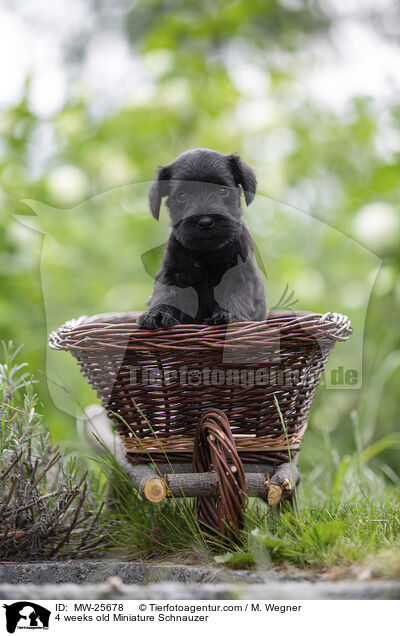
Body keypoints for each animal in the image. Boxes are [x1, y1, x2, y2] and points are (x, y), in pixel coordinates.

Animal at [139, 147, 268, 330]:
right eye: (181, 196)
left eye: (222, 190)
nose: (205, 222)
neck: (206, 254)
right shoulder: (171, 274)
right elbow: (166, 294)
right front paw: (157, 314)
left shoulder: (239, 273)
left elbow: (235, 294)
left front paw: (228, 316)